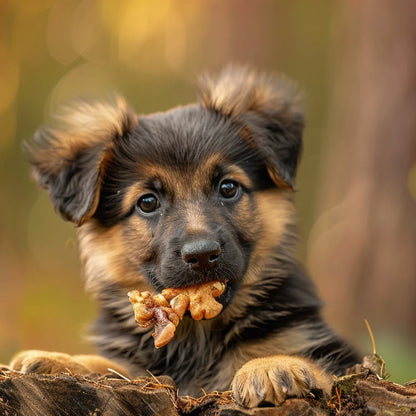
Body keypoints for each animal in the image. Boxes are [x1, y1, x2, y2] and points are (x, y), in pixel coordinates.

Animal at [11, 66, 360, 408]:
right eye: (147, 202)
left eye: (228, 187)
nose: (202, 255)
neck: (197, 337)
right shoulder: (138, 365)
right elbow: (110, 366)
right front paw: (58, 359)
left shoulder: (335, 354)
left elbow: (324, 369)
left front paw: (272, 365)